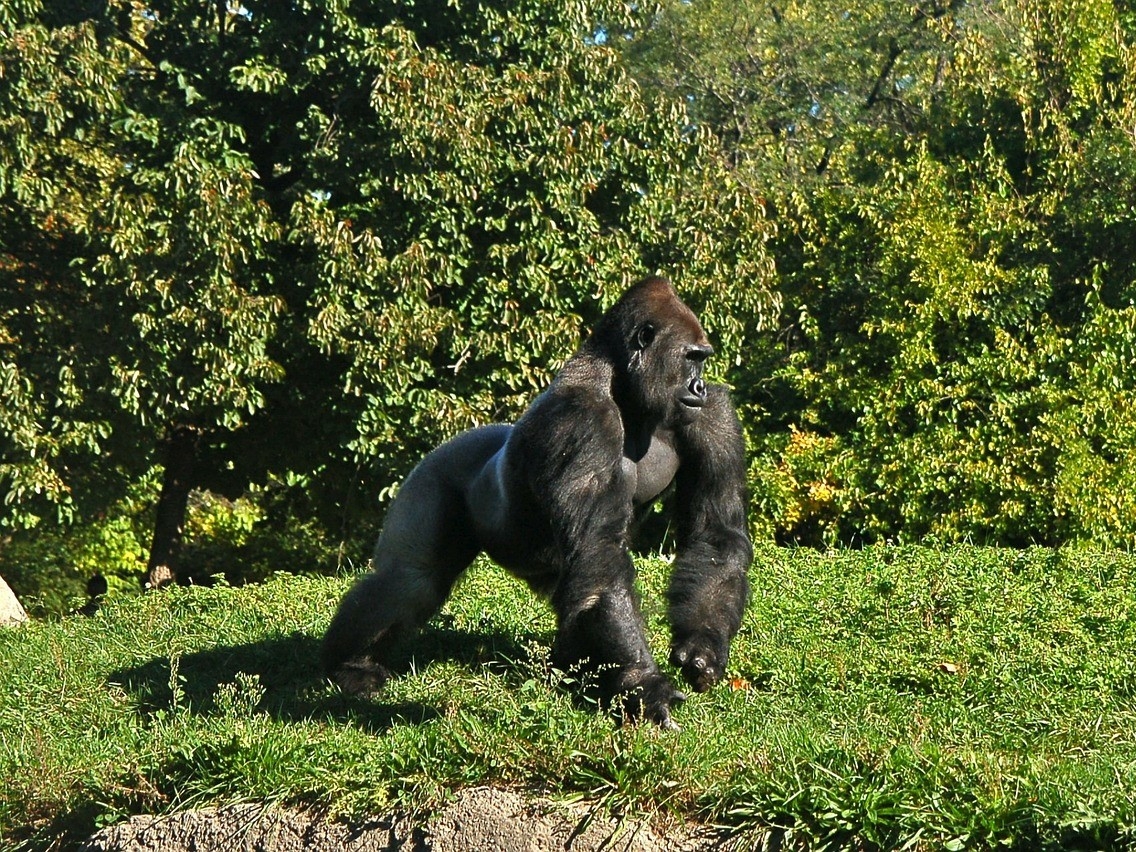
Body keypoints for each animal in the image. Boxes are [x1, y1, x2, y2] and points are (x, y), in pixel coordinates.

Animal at [322, 277, 754, 731]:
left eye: (702, 362)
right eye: (691, 359)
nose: (699, 386)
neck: (622, 386)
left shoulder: (713, 415)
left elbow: (715, 534)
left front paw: (702, 646)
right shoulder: (582, 420)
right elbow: (600, 559)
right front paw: (644, 684)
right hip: (440, 467)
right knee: (412, 579)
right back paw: (350, 664)